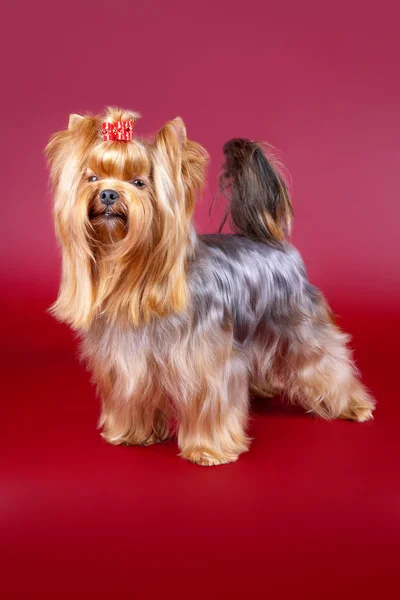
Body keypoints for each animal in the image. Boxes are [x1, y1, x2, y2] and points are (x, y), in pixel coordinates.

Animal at [47, 106, 376, 464]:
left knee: (327, 360)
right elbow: (132, 397)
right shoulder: (125, 361)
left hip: (300, 325)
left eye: (139, 182)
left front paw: (209, 450)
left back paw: (354, 405)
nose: (108, 193)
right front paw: (131, 434)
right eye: (91, 178)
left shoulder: (207, 364)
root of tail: (273, 241)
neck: (135, 279)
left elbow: (210, 404)